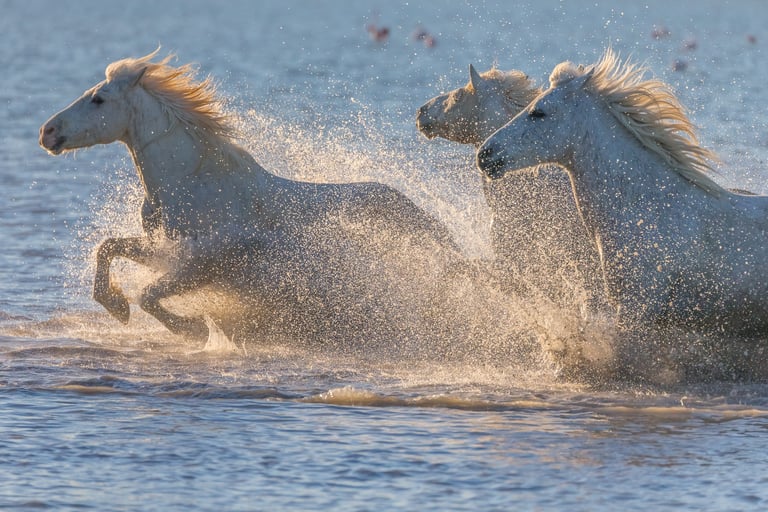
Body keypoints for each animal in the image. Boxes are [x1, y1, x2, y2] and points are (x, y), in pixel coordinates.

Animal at [39, 50, 467, 345]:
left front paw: (191, 329)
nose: (47, 131)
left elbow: (149, 294)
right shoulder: (165, 251)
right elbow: (108, 247)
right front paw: (116, 305)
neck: (195, 182)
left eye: (98, 99)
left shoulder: (206, 262)